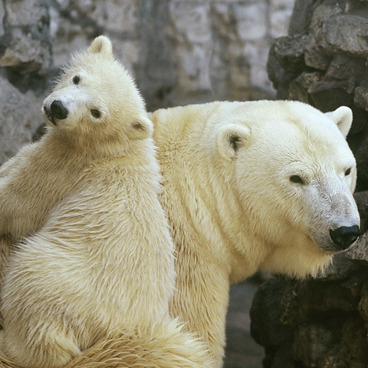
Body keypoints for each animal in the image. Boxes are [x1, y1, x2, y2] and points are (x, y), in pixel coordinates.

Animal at [0, 35, 213, 368]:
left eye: (96, 112)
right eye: (77, 78)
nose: (59, 108)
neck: (113, 148)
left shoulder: (62, 169)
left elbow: (15, 202)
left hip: (63, 284)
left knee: (31, 282)